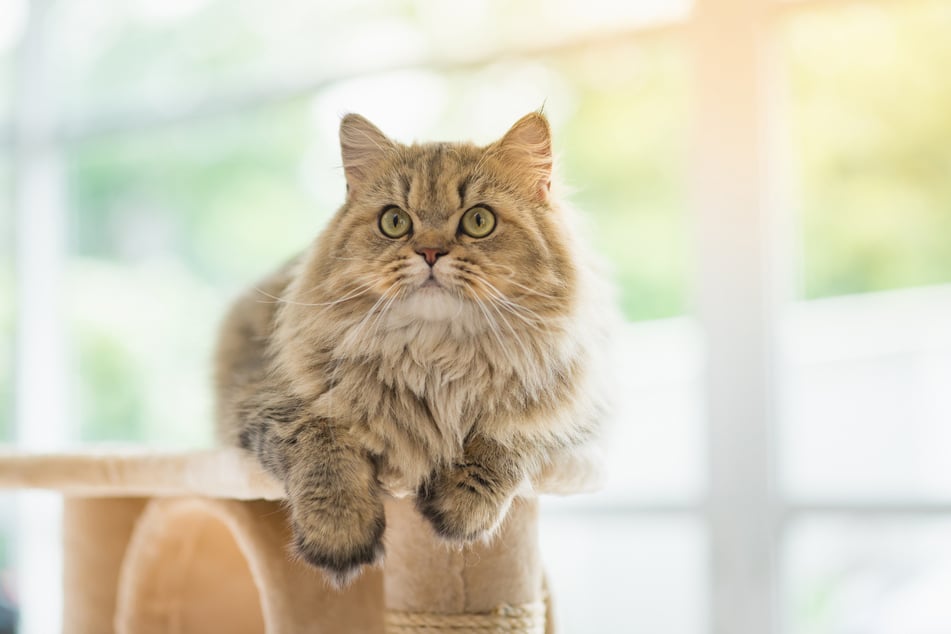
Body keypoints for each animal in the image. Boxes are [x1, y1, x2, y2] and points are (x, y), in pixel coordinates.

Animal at [213, 111, 612, 584]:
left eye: (479, 221)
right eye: (395, 222)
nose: (430, 252)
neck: (436, 359)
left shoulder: (577, 419)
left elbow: (508, 437)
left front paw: (460, 510)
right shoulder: (271, 400)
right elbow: (323, 449)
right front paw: (340, 532)